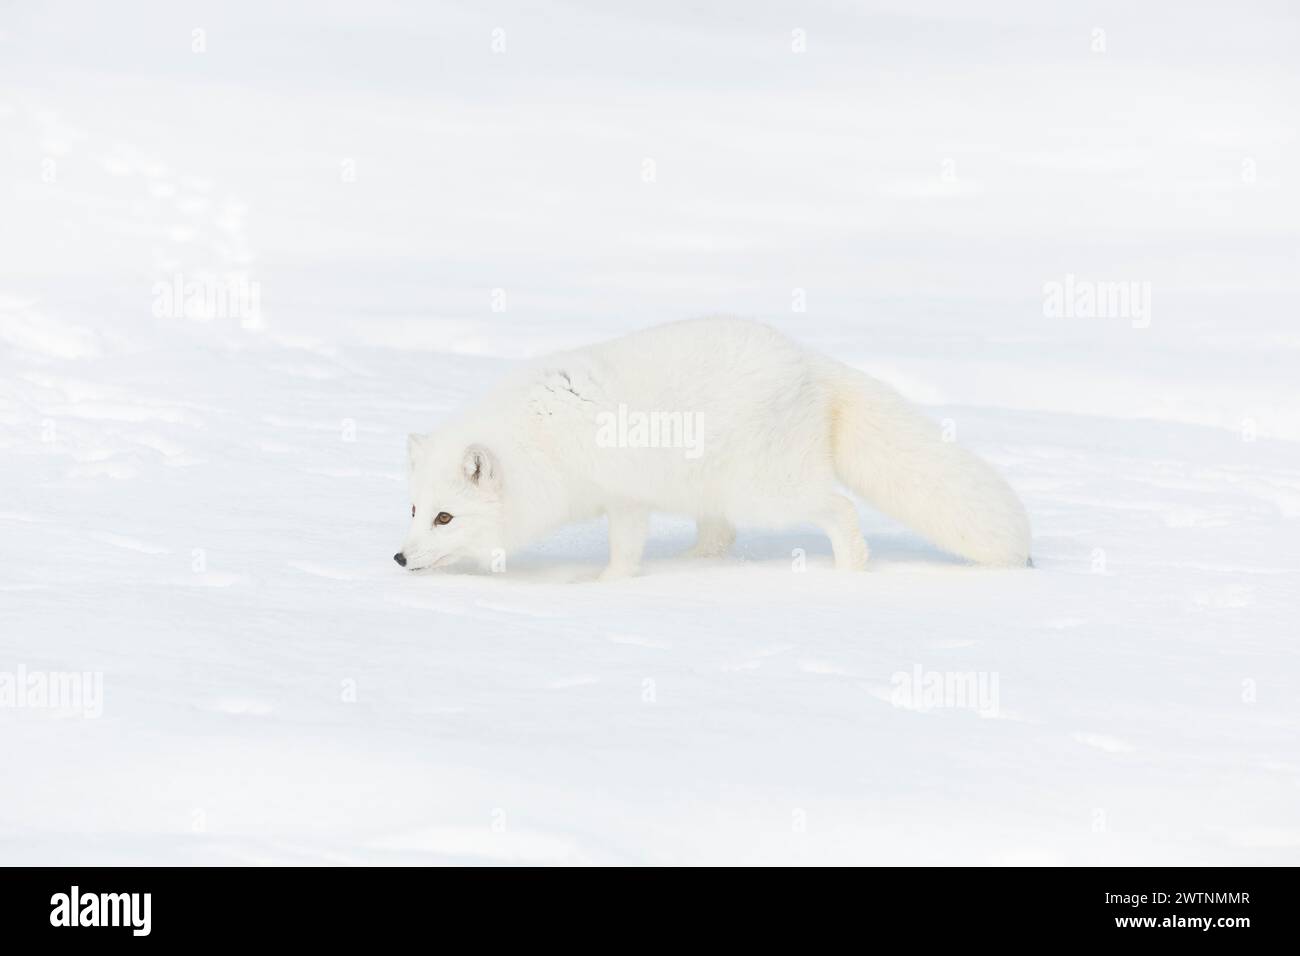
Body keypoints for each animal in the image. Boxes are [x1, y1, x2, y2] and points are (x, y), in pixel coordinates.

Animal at [395, 317, 1031, 578]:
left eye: (445, 517)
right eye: (414, 510)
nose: (399, 558)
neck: (537, 439)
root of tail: (808, 361)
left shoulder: (624, 497)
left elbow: (623, 554)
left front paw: (603, 587)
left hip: (765, 490)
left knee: (839, 509)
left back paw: (850, 570)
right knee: (720, 538)